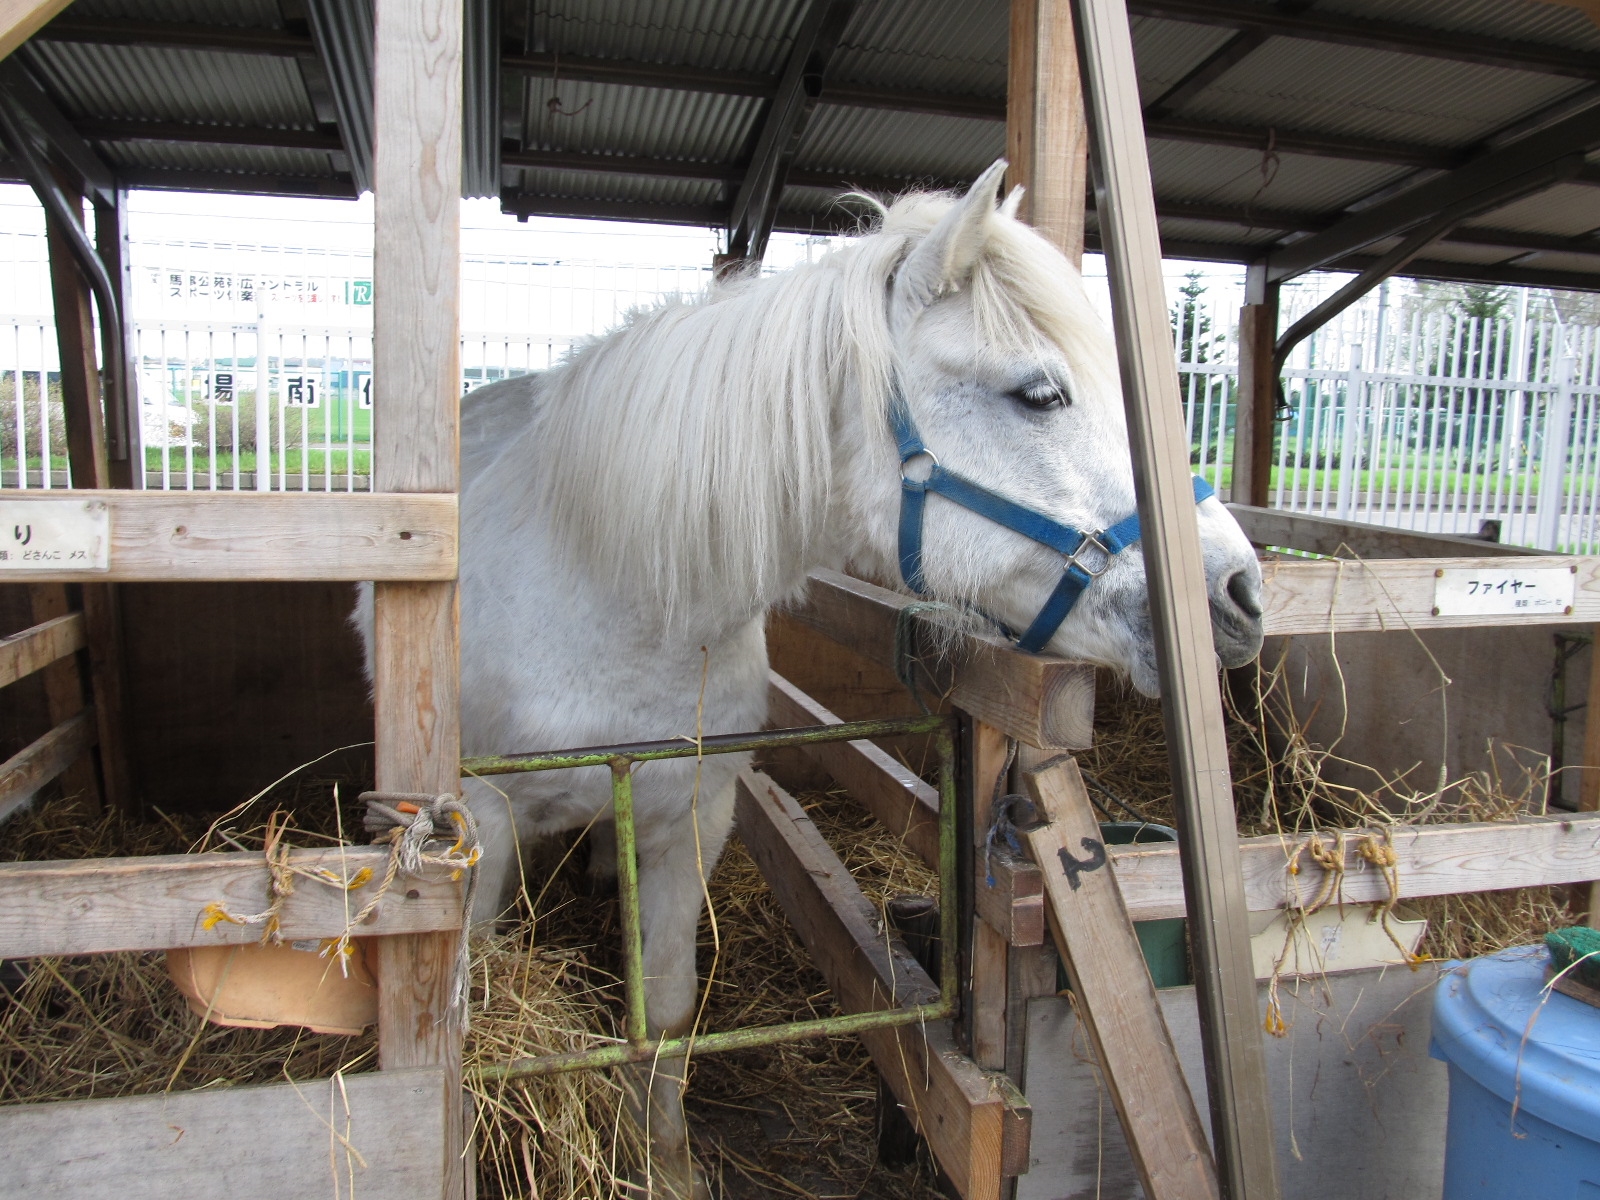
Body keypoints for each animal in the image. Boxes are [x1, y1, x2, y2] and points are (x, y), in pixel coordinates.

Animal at [354, 160, 1264, 1198]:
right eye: (1038, 394)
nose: (1236, 591)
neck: (607, 591)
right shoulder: (484, 824)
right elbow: (482, 1013)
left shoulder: (693, 814)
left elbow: (666, 1007)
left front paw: (664, 1159)